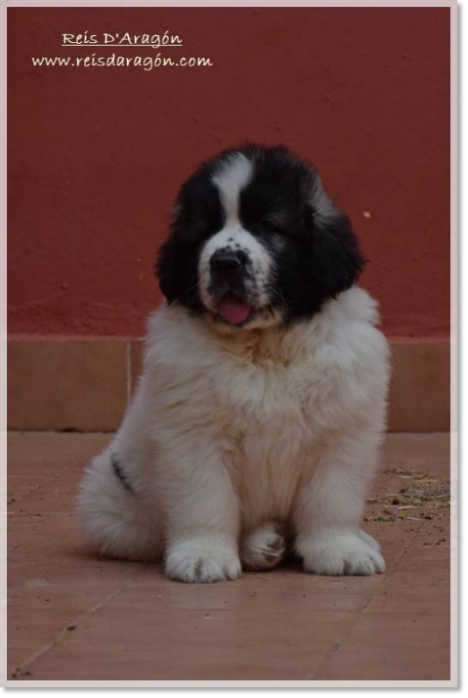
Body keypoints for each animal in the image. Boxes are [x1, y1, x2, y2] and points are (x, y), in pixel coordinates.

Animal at [77, 143, 392, 580]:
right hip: (109, 505)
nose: (225, 262)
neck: (263, 348)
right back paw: (259, 543)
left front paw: (341, 549)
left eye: (269, 226)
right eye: (205, 230)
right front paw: (202, 556)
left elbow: (332, 497)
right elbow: (206, 500)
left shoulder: (342, 431)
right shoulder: (192, 436)